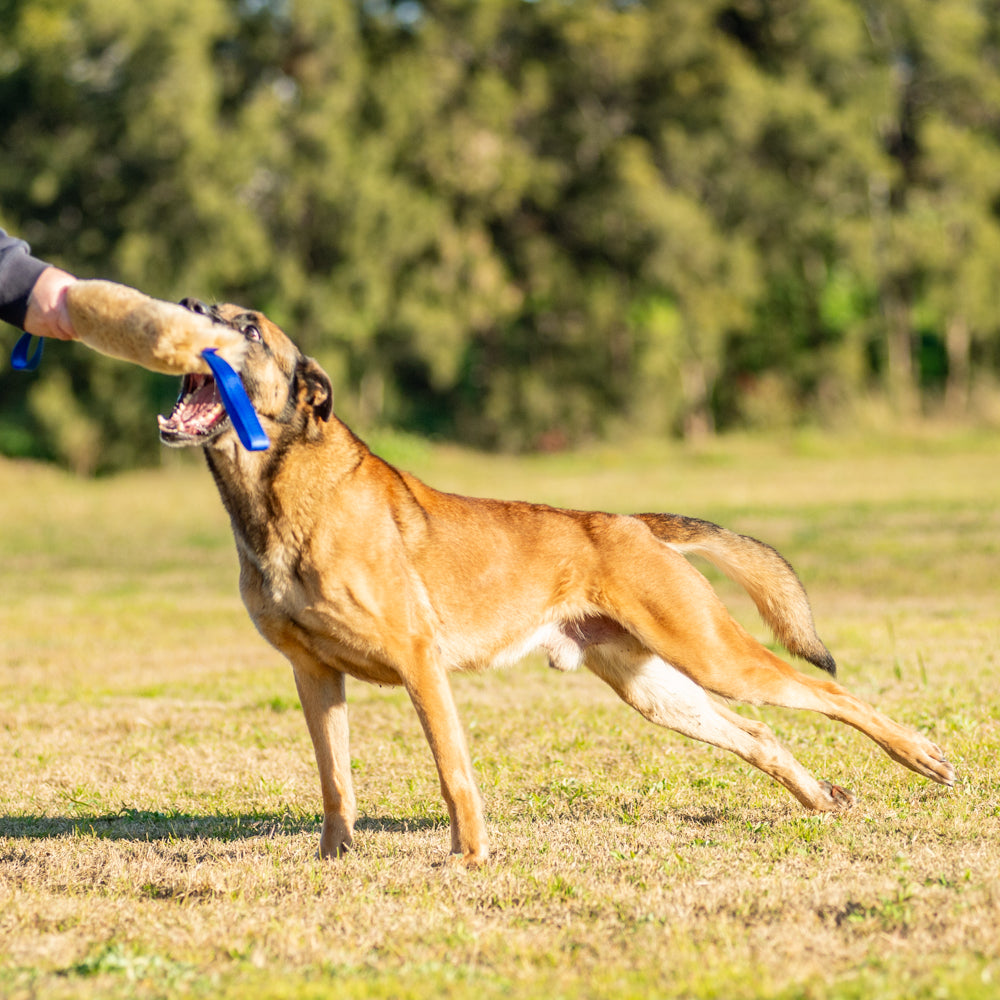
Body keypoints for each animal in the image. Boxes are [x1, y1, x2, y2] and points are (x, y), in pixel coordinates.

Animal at [156, 300, 952, 864]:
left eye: (248, 326)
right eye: (203, 304)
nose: (182, 305)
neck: (279, 496)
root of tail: (631, 523)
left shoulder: (419, 665)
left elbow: (453, 772)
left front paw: (470, 858)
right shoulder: (314, 676)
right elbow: (335, 782)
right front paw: (334, 860)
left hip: (711, 655)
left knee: (829, 694)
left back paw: (921, 756)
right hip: (654, 688)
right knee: (759, 733)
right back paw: (820, 798)